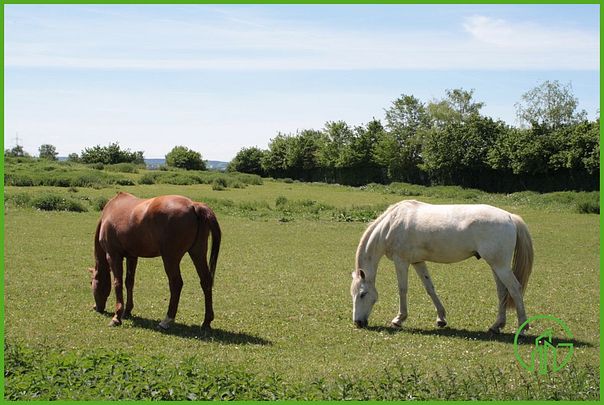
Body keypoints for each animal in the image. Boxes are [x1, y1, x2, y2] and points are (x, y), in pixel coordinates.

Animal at [89, 192, 222, 328]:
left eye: (91, 283)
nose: (96, 307)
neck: (109, 213)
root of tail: (193, 205)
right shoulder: (132, 256)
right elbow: (129, 282)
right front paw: (127, 311)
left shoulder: (113, 255)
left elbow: (117, 283)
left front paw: (117, 317)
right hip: (197, 253)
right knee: (205, 281)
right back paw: (206, 321)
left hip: (170, 258)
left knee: (176, 284)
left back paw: (167, 320)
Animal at [350, 200, 532, 332]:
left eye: (363, 294)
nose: (358, 322)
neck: (391, 224)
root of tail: (509, 216)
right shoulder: (418, 262)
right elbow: (430, 288)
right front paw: (441, 319)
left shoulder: (401, 261)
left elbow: (402, 289)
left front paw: (399, 319)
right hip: (495, 265)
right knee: (502, 291)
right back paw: (496, 326)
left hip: (500, 266)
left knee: (515, 289)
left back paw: (522, 327)